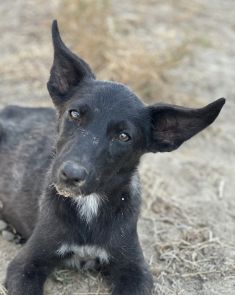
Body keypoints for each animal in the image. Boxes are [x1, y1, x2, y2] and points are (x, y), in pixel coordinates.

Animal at [0, 21, 225, 295]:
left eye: (124, 136)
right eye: (74, 114)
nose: (71, 175)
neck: (90, 205)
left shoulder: (135, 270)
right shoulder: (26, 264)